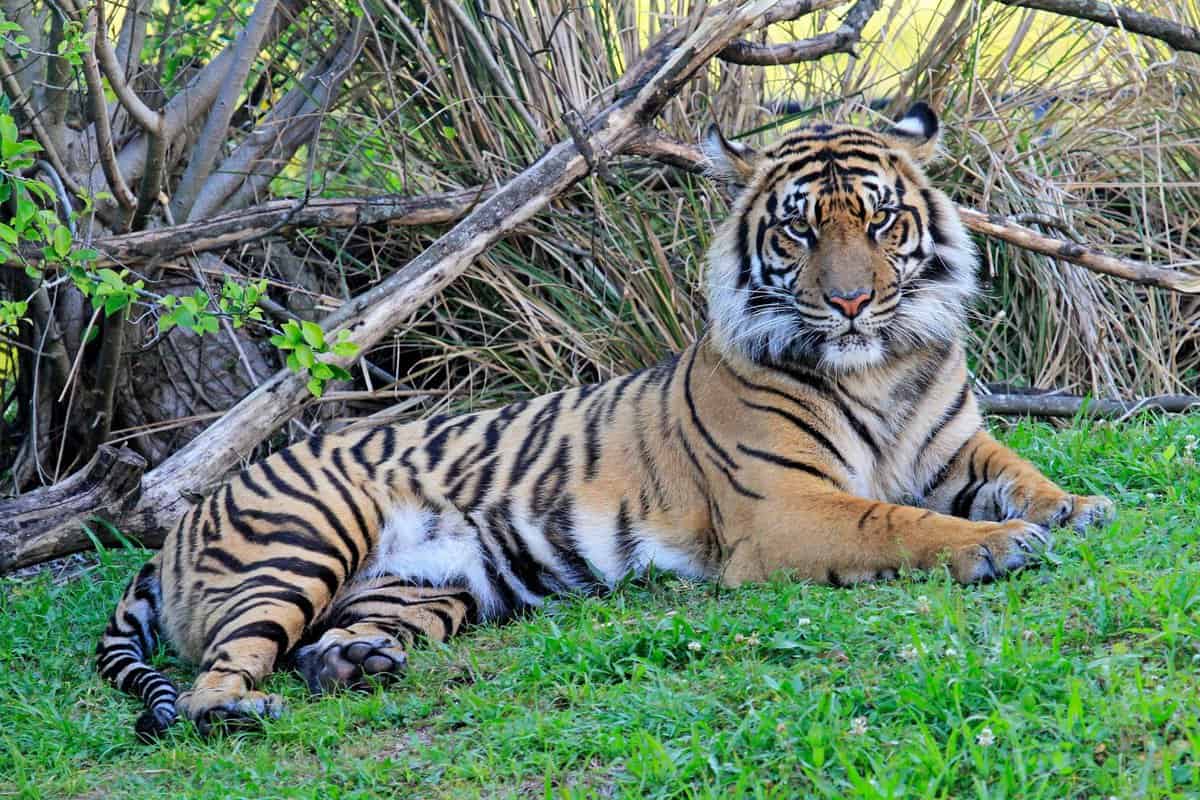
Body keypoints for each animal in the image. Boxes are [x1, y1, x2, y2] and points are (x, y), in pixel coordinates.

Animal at [97, 103, 1115, 740]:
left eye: (878, 220)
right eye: (798, 231)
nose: (853, 303)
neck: (881, 370)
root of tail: (187, 513)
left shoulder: (954, 445)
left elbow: (1019, 471)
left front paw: (1078, 507)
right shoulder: (785, 510)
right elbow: (893, 520)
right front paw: (998, 545)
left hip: (424, 588)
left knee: (322, 644)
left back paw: (359, 664)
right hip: (304, 539)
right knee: (219, 667)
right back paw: (238, 710)